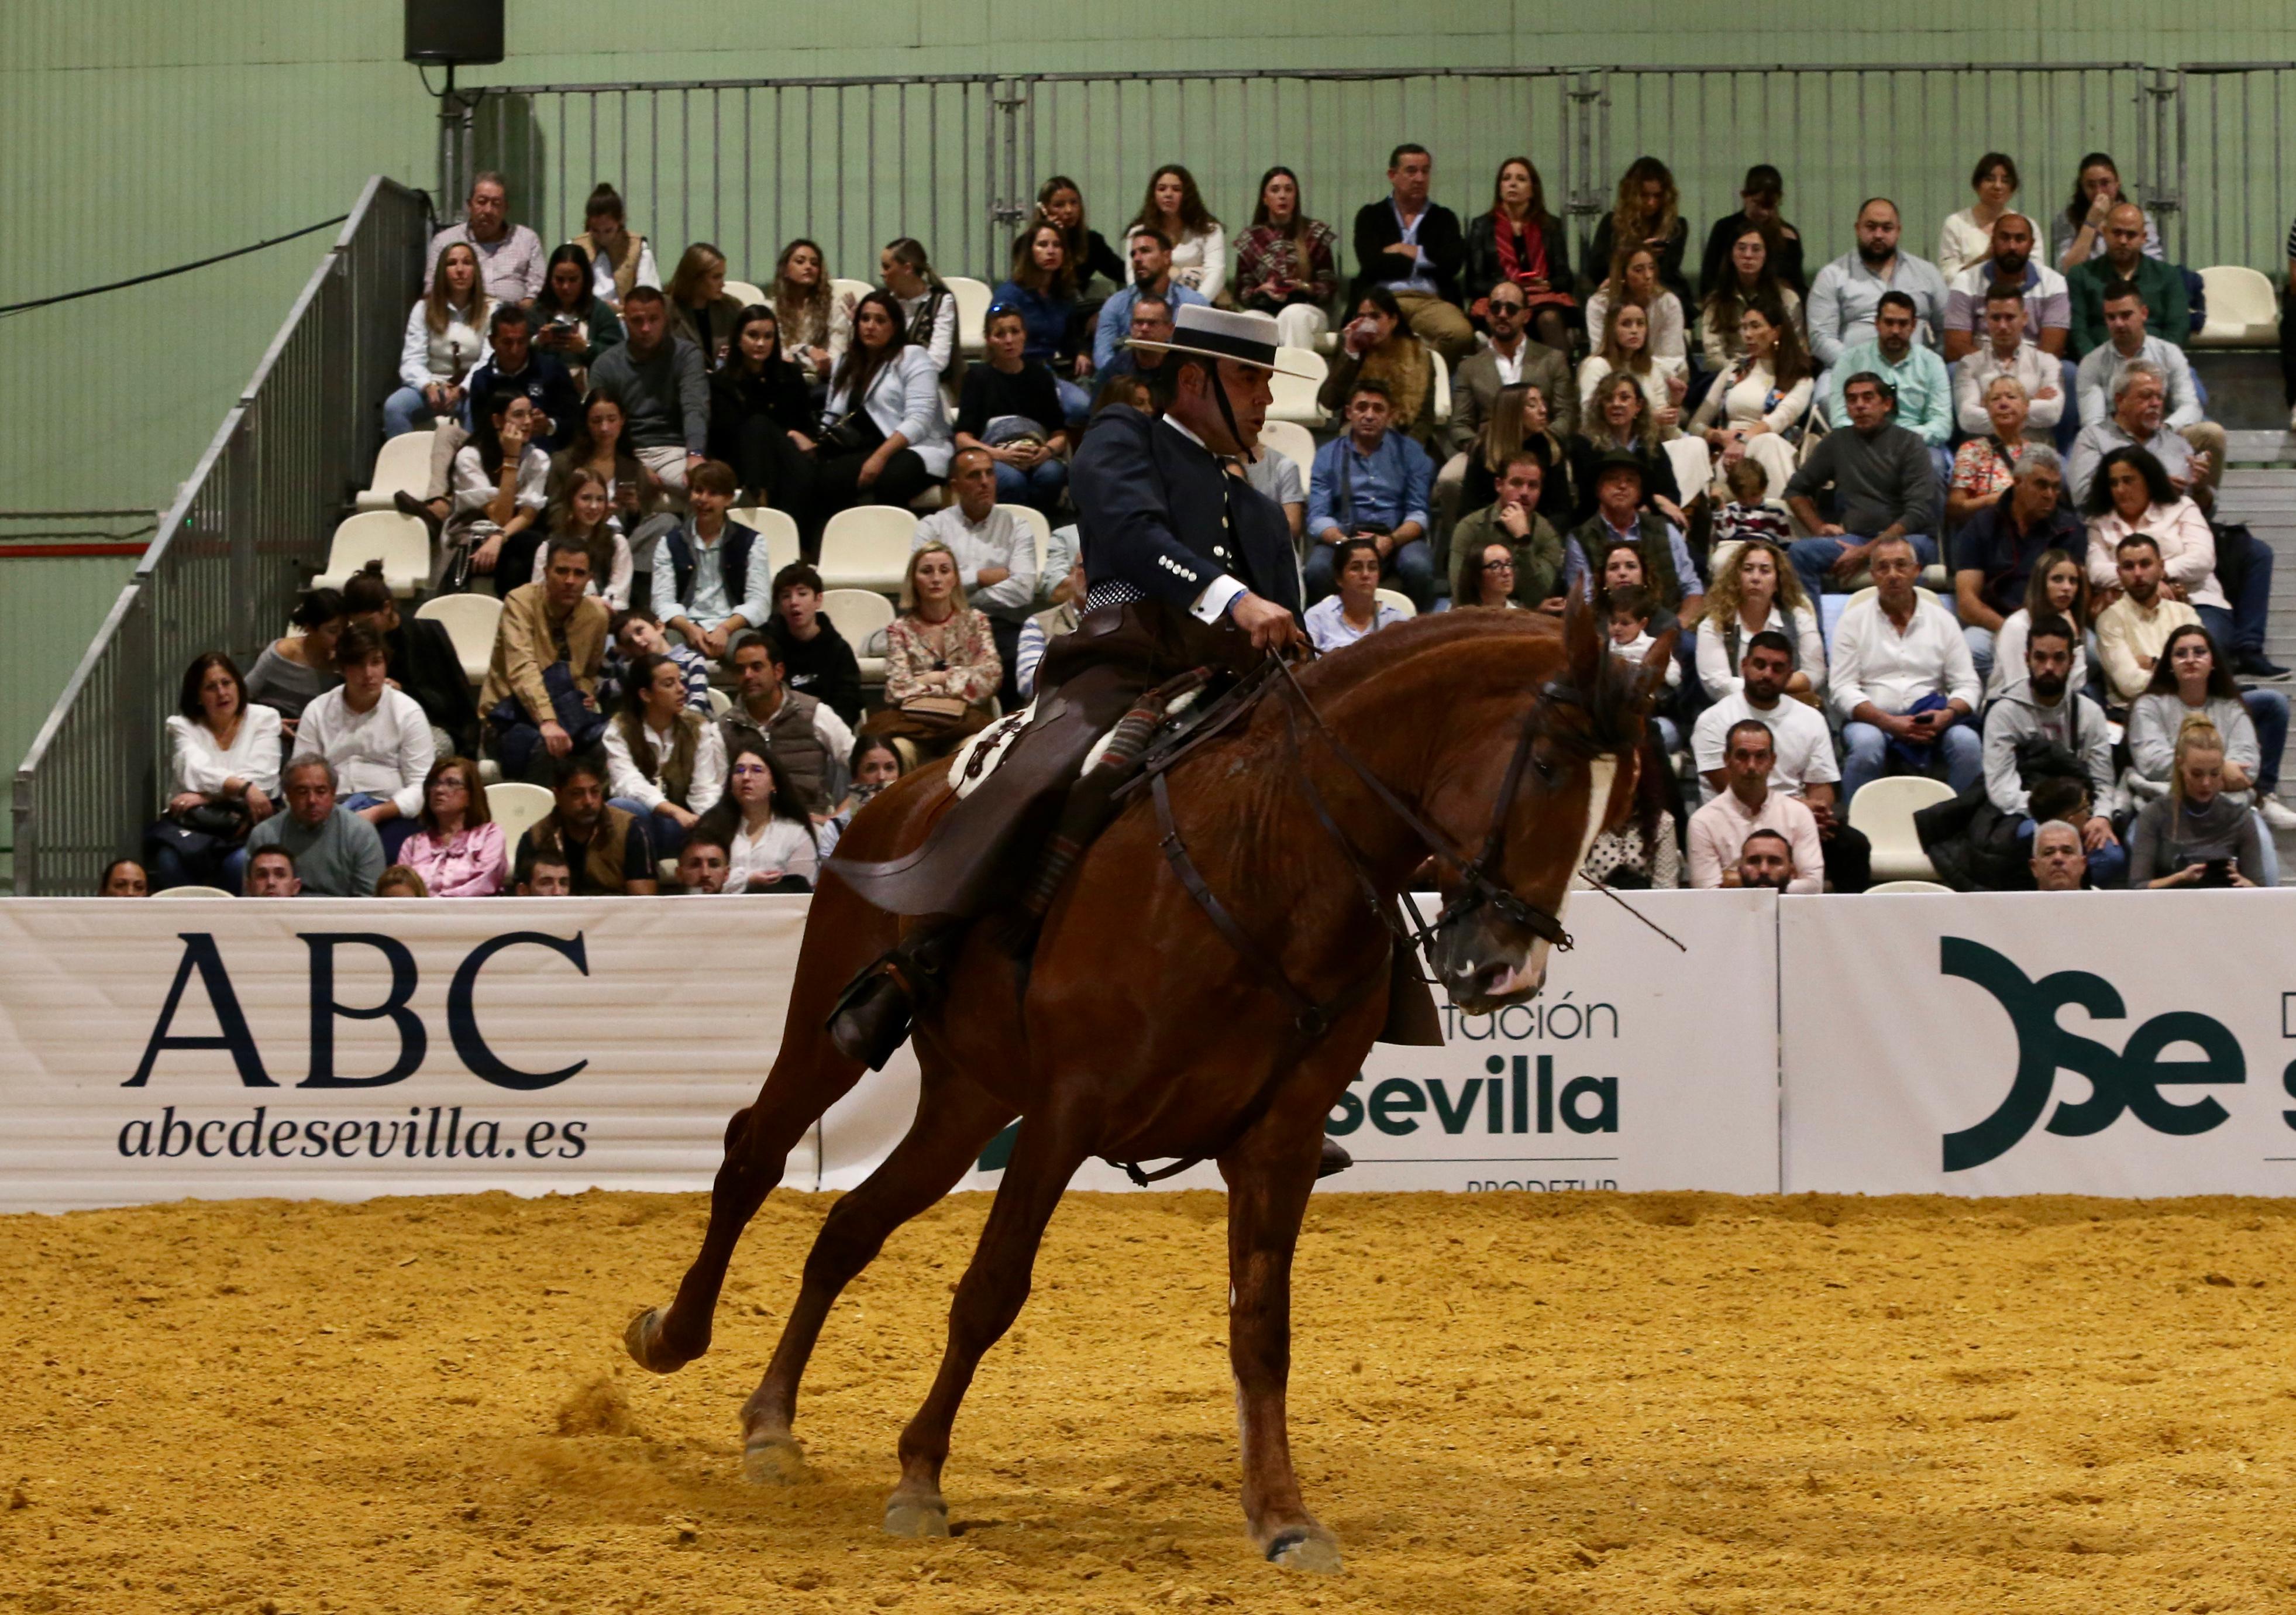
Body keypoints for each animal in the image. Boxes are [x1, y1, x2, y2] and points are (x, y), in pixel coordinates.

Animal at [624, 592, 1671, 1562]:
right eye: (1546, 768)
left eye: (1621, 802)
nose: (1505, 975)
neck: (1267, 851)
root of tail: (889, 800)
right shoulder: (1064, 1116)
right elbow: (990, 1290)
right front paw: (920, 1479)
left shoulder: (1279, 1140)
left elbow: (1263, 1329)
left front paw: (1283, 1518)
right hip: (832, 1037)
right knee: (753, 1158)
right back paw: (674, 1336)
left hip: (968, 1103)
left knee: (848, 1227)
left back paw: (770, 1423)